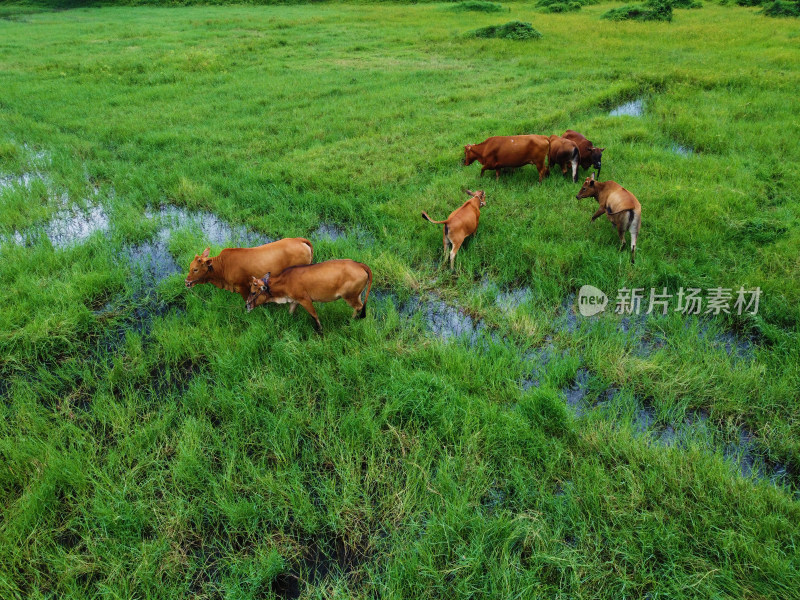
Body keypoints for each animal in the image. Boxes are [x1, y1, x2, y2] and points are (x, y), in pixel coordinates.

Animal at [245, 258, 374, 332]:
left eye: (253, 292)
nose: (246, 306)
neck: (284, 281)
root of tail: (360, 265)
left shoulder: (305, 300)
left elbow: (314, 315)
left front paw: (320, 330)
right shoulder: (294, 301)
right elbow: (290, 313)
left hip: (349, 296)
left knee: (358, 307)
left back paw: (349, 322)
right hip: (357, 295)